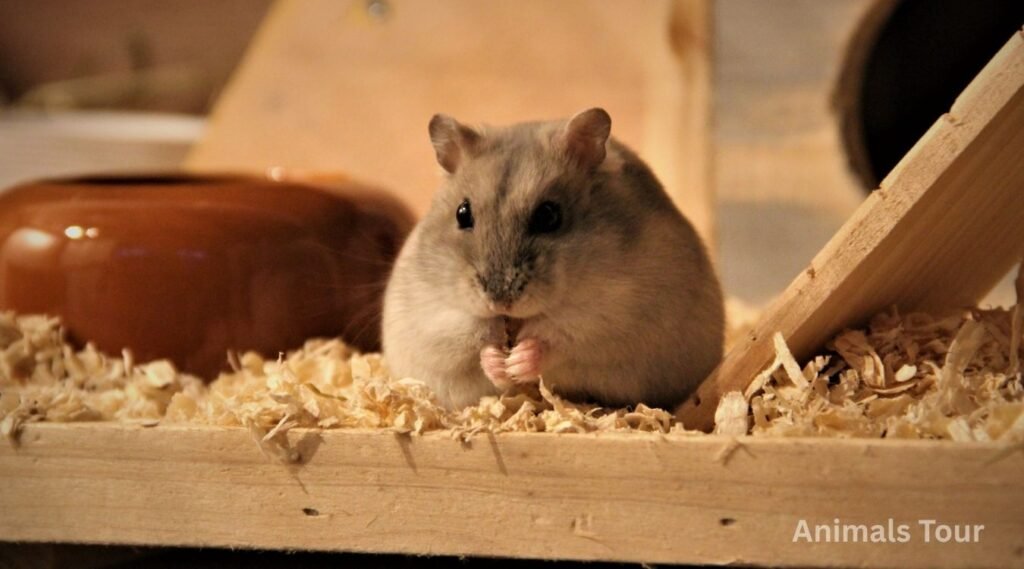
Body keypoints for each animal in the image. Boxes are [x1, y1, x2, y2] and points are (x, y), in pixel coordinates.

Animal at [382, 108, 724, 410]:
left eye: (548, 215)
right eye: (462, 213)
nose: (499, 300)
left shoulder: (616, 317)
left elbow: (558, 338)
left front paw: (518, 362)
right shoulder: (430, 319)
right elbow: (471, 341)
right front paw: (499, 362)